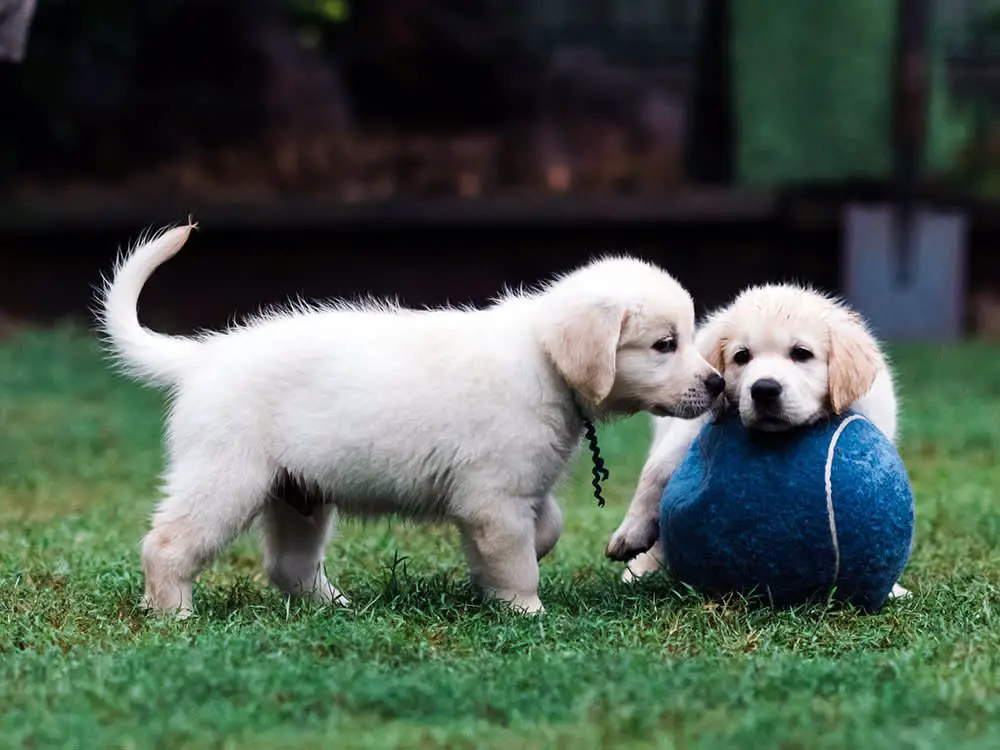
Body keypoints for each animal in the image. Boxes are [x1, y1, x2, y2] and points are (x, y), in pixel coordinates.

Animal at [97, 222, 724, 616]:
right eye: (665, 344)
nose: (718, 384)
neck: (543, 363)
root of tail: (202, 355)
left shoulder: (514, 488)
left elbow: (545, 526)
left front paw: (497, 576)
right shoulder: (494, 497)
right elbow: (516, 557)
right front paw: (526, 609)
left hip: (298, 493)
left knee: (288, 567)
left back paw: (338, 608)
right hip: (226, 478)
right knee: (167, 544)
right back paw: (174, 613)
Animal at [604, 282, 912, 600]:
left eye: (801, 353)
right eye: (742, 356)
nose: (764, 389)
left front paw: (892, 588)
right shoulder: (691, 426)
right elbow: (657, 470)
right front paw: (630, 533)